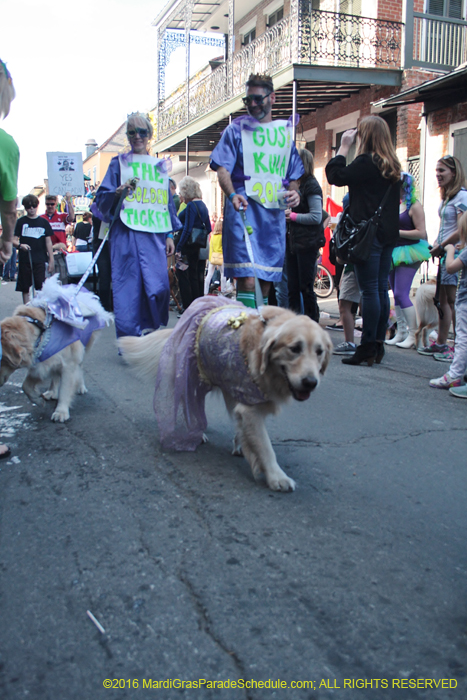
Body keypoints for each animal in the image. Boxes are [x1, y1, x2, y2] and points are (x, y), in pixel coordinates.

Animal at [119, 296, 332, 492]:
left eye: (319, 352)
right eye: (294, 349)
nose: (311, 383)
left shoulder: (244, 396)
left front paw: (243, 446)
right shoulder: (251, 409)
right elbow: (266, 447)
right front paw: (277, 477)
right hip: (191, 377)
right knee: (189, 404)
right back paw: (195, 432)